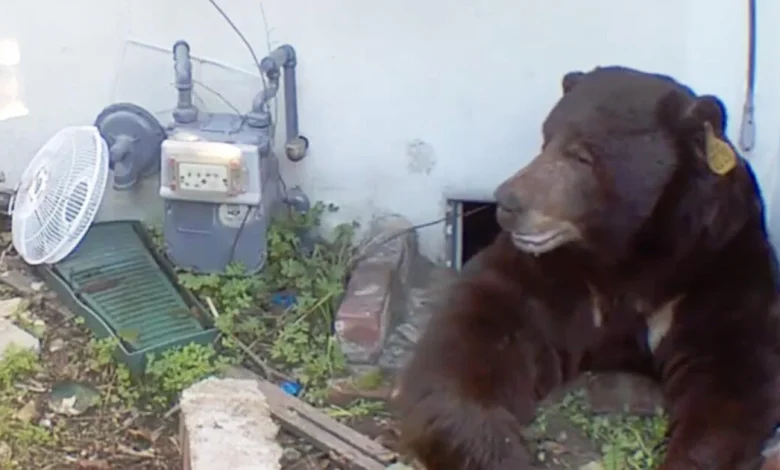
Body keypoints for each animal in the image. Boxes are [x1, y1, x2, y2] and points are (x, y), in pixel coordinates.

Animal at [394, 65, 780, 470]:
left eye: (581, 155)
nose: (507, 202)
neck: (630, 255)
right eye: (546, 139)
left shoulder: (715, 266)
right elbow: (472, 344)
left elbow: (731, 375)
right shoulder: (554, 276)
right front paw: (503, 450)